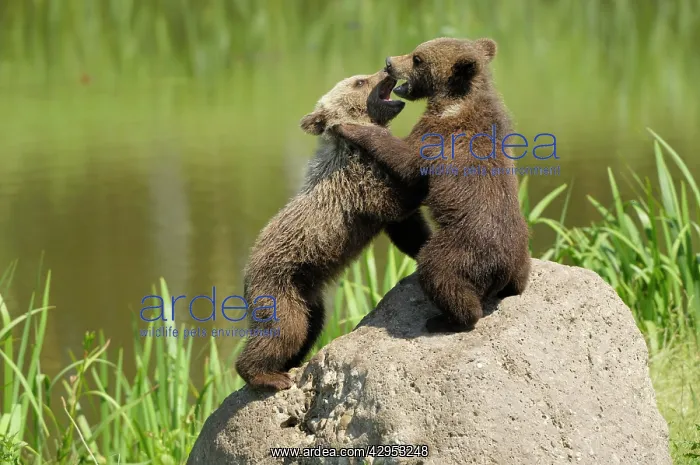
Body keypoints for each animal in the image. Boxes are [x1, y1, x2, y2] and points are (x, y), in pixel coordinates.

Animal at [235, 70, 432, 390]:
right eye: (360, 81)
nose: (386, 69)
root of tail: (246, 272)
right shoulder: (361, 184)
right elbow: (398, 202)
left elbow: (409, 230)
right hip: (278, 284)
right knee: (284, 330)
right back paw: (268, 376)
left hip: (307, 294)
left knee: (308, 328)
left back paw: (290, 365)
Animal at [336, 37, 531, 333]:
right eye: (415, 50)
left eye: (417, 58)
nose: (389, 62)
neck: (454, 100)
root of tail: (503, 268)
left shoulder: (438, 135)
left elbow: (405, 159)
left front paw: (349, 127)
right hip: (521, 245)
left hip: (462, 247)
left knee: (440, 273)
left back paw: (444, 319)